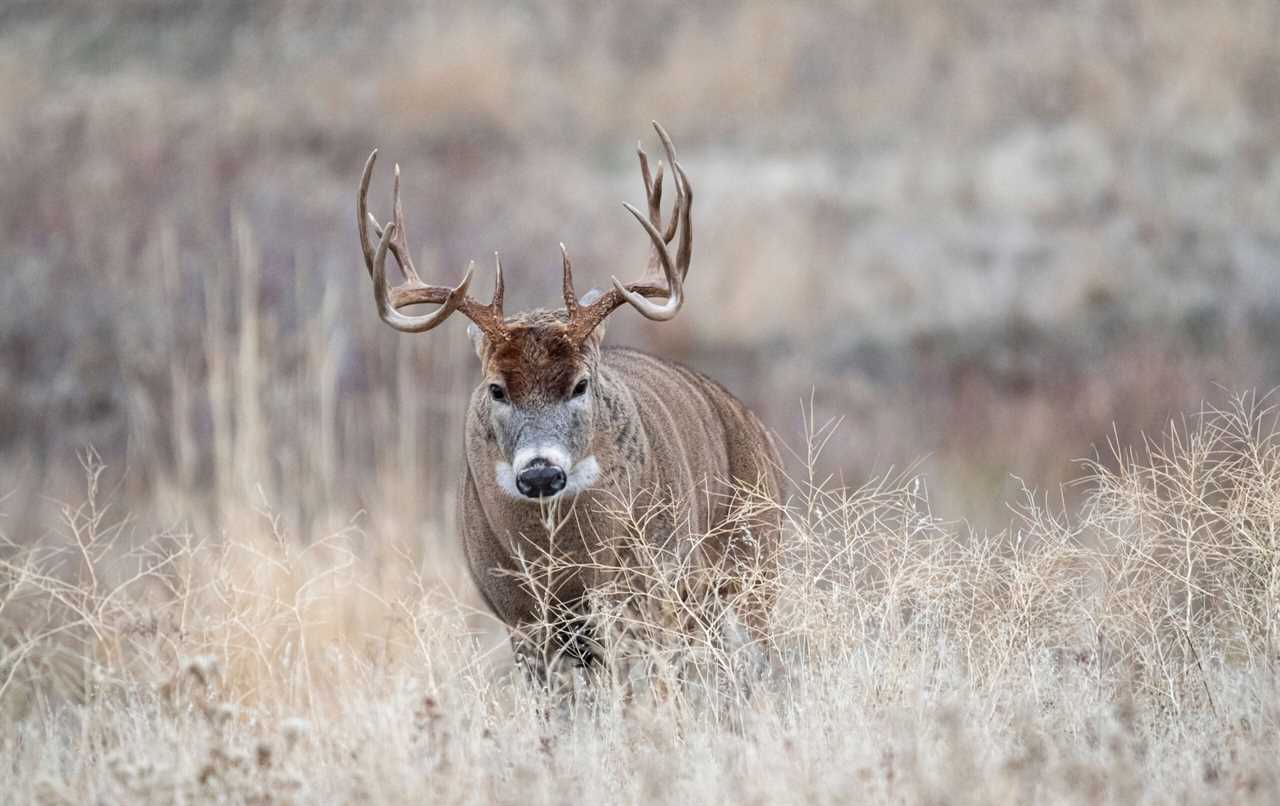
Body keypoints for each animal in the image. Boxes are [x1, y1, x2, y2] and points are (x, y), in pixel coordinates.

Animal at [355, 123, 783, 685]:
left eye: (580, 384)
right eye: (497, 388)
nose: (541, 473)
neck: (564, 563)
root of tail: (753, 424)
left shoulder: (644, 596)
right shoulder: (518, 615)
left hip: (754, 565)